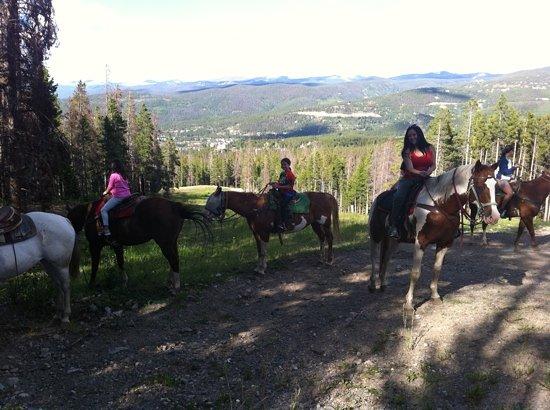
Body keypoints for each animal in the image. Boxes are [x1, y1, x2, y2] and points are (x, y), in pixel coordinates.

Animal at [65, 196, 211, 290]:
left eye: (69, 218)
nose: (71, 233)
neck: (90, 215)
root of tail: (175, 206)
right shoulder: (117, 245)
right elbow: (120, 262)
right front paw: (124, 283)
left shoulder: (95, 246)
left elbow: (95, 266)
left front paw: (91, 284)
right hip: (171, 242)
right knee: (174, 259)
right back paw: (170, 282)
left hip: (165, 243)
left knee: (173, 260)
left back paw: (176, 286)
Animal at [206, 187, 340, 274]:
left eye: (212, 201)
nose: (205, 215)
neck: (255, 207)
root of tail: (327, 195)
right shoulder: (256, 233)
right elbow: (259, 250)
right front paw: (258, 267)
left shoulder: (264, 233)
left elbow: (264, 251)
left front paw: (262, 269)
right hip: (315, 224)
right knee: (322, 238)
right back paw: (321, 259)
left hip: (325, 223)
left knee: (329, 238)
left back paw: (329, 260)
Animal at [368, 160, 502, 318]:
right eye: (481, 186)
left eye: (496, 186)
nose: (494, 216)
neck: (440, 205)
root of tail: (378, 198)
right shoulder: (420, 242)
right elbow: (415, 273)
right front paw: (409, 305)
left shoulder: (444, 243)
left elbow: (437, 268)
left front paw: (434, 296)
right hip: (375, 235)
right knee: (374, 257)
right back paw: (372, 285)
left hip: (394, 240)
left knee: (387, 258)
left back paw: (382, 283)